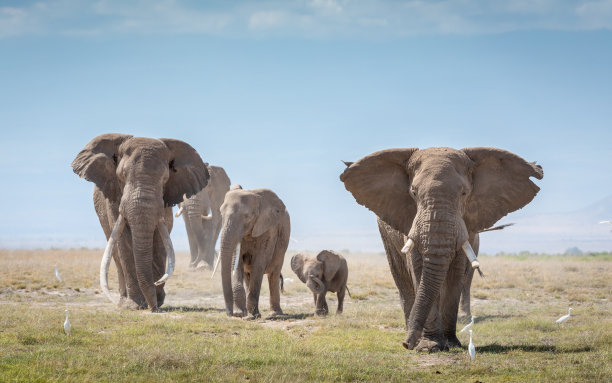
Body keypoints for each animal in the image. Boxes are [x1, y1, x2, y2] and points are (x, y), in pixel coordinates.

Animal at [72, 134, 208, 312]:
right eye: (122, 175)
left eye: (165, 179)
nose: (153, 307)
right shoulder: (115, 199)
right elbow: (125, 242)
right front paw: (135, 305)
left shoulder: (164, 202)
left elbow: (159, 240)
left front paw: (156, 300)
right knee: (116, 253)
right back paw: (124, 301)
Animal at [220, 186, 292, 320]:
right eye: (221, 214)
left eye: (247, 216)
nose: (230, 313)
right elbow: (236, 262)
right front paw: (240, 314)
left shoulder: (268, 229)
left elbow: (259, 262)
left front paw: (252, 316)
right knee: (248, 275)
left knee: (273, 275)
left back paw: (275, 314)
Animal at [340, 148, 544, 352]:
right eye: (413, 192)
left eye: (464, 193)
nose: (406, 344)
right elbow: (418, 269)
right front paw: (429, 346)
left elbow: (455, 273)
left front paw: (451, 344)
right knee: (401, 275)